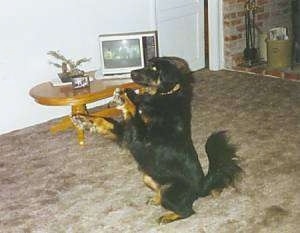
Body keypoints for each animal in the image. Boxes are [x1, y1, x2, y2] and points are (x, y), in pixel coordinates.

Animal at [72, 56, 241, 224]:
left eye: (154, 69)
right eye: (147, 64)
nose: (132, 72)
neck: (161, 96)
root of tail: (201, 187)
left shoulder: (142, 137)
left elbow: (133, 112)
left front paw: (124, 99)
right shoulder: (127, 132)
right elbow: (103, 120)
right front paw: (83, 119)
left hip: (169, 190)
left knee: (187, 211)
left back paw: (167, 216)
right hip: (147, 176)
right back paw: (156, 200)